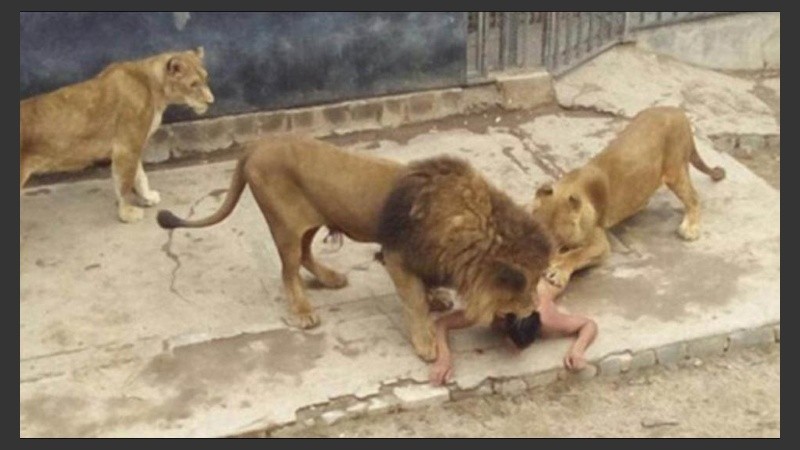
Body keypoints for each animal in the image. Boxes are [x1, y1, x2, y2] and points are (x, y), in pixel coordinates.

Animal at [20, 47, 214, 223]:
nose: (211, 101)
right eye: (193, 84)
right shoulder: (126, 146)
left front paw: (147, 197)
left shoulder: (134, 143)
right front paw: (127, 213)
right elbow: (125, 182)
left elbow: (139, 176)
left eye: (206, 79)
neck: (154, 87)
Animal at [156, 134, 457, 355]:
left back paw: (330, 278)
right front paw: (426, 342)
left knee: (304, 254)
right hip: (284, 224)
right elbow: (414, 298)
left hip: (310, 221)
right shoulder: (396, 254)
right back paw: (303, 312)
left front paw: (436, 297)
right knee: (289, 270)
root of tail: (258, 144)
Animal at [377, 156, 554, 360]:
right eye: (531, 284)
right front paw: (426, 343)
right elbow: (415, 300)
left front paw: (436, 298)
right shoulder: (397, 254)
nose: (536, 306)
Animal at [532, 106, 726, 288]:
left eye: (557, 237)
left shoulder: (599, 243)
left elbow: (576, 254)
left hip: (674, 170)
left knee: (693, 197)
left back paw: (690, 228)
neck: (568, 187)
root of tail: (678, 111)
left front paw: (558, 270)